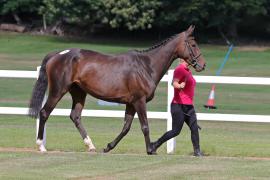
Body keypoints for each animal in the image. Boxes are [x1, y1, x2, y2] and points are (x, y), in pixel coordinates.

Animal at [28, 25, 206, 155]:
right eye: (193, 44)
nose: (203, 65)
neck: (146, 66)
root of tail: (58, 54)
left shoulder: (131, 104)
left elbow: (126, 128)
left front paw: (108, 147)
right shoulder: (139, 101)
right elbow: (145, 126)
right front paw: (150, 149)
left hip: (78, 93)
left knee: (75, 116)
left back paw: (91, 146)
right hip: (58, 91)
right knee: (44, 112)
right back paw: (41, 146)